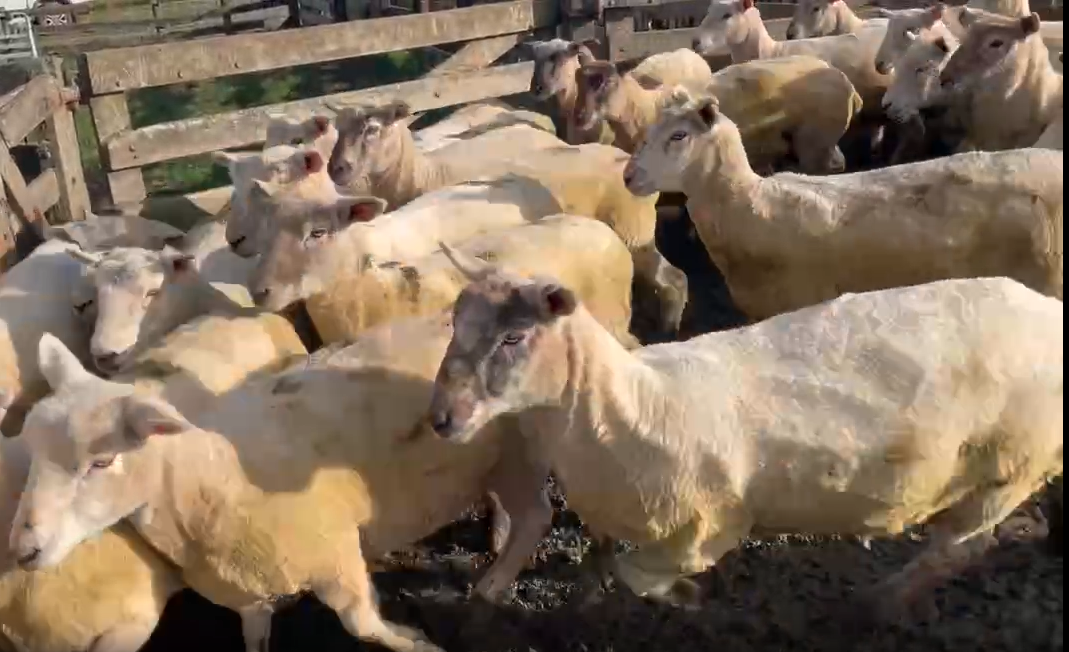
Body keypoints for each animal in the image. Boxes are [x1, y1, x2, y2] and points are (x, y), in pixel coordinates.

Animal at [572, 55, 862, 172]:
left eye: (607, 82)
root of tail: (847, 84)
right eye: (577, 80)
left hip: (813, 144)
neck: (644, 107)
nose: (579, 117)